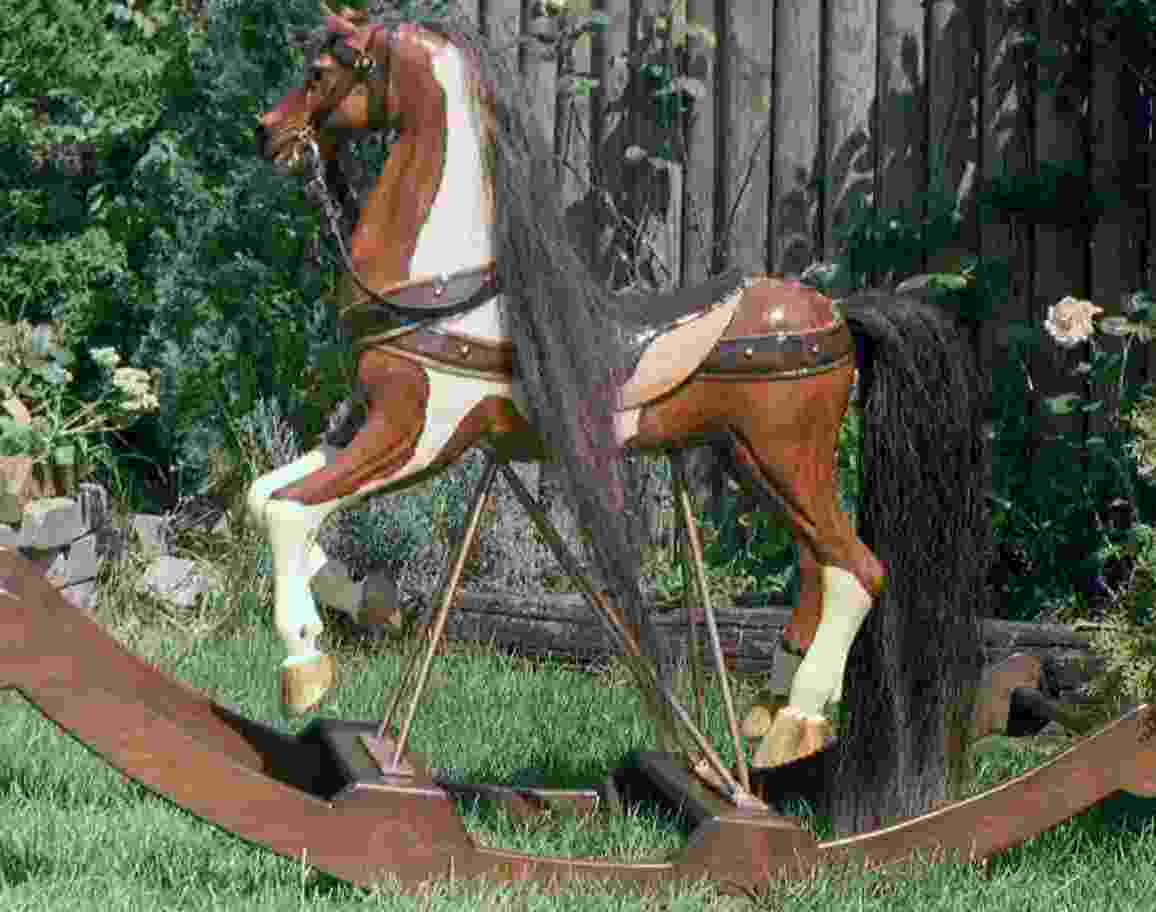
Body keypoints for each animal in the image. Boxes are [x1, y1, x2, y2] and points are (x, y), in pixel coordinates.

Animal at [249, 5, 989, 832]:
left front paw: (305, 665)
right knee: (817, 568)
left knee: (859, 569)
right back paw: (770, 717)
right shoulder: (365, 425)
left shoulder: (419, 436)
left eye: (320, 72)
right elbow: (266, 495)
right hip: (756, 462)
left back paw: (794, 722)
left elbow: (289, 509)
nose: (266, 132)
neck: (448, 286)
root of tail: (836, 316)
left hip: (784, 457)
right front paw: (348, 596)